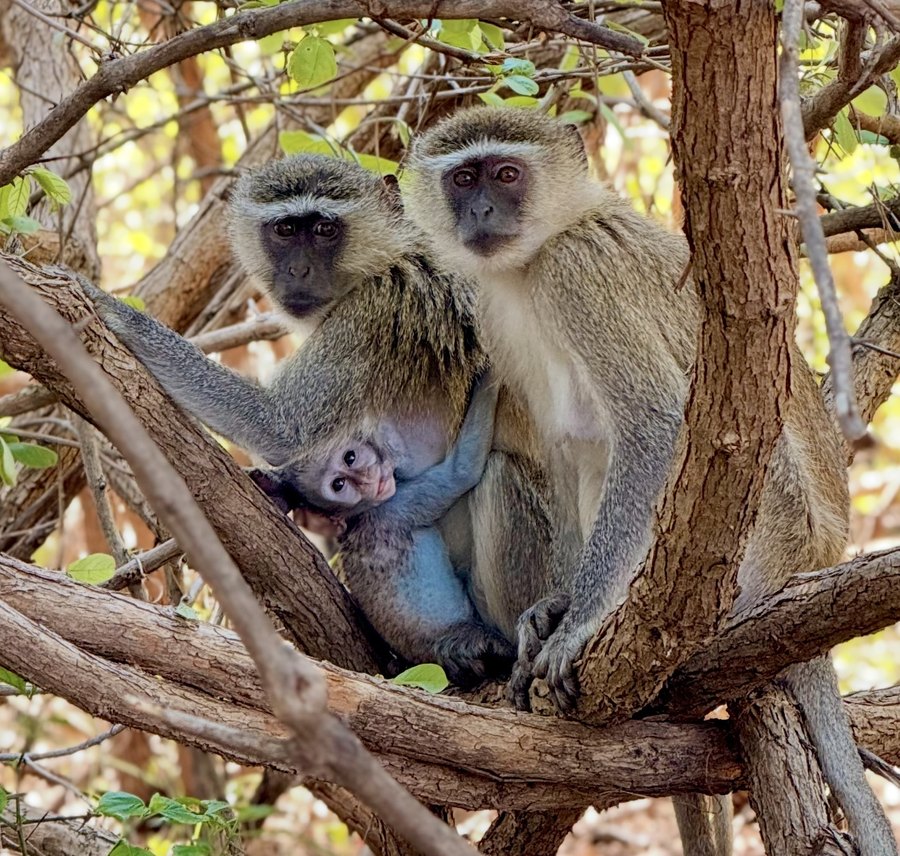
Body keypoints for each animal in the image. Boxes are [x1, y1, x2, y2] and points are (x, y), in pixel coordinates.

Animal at [248, 376, 515, 686]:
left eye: (350, 457)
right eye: (339, 485)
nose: (367, 479)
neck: (358, 516)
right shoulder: (398, 506)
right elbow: (464, 468)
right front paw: (489, 380)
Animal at [405, 106, 896, 856]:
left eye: (507, 174)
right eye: (464, 180)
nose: (482, 210)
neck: (533, 259)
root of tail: (811, 561)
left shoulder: (576, 272)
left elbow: (656, 425)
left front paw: (579, 625)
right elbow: (568, 448)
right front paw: (558, 606)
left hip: (770, 523)